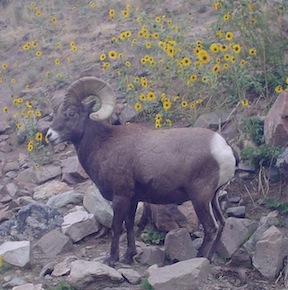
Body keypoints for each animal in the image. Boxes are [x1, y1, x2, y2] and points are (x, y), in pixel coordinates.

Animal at [46, 76, 236, 266]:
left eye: (71, 113)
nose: (49, 135)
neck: (103, 144)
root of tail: (224, 149)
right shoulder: (133, 199)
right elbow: (129, 224)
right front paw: (128, 257)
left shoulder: (120, 196)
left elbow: (117, 226)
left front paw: (112, 259)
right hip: (213, 198)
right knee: (222, 223)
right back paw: (209, 258)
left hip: (200, 198)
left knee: (211, 228)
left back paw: (199, 258)